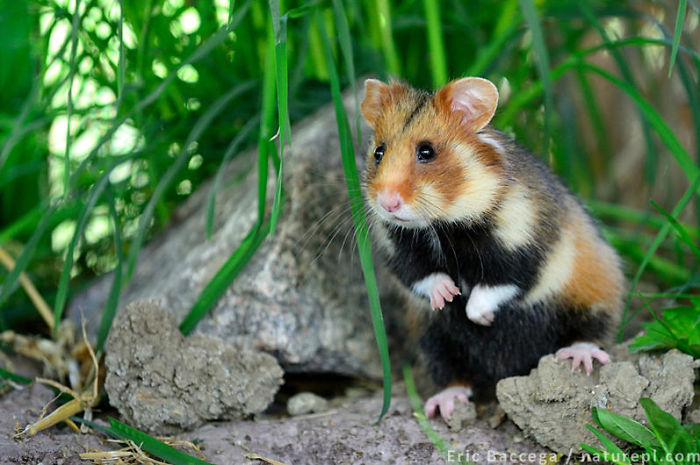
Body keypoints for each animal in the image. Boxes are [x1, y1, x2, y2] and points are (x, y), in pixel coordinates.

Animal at [360, 77, 624, 422]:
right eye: (378, 152)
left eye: (426, 152)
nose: (387, 203)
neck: (441, 224)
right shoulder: (399, 250)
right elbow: (422, 276)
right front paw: (447, 296)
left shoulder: (525, 247)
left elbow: (495, 287)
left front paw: (480, 317)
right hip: (434, 341)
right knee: (453, 374)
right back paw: (444, 404)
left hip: (591, 295)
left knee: (590, 331)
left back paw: (578, 357)